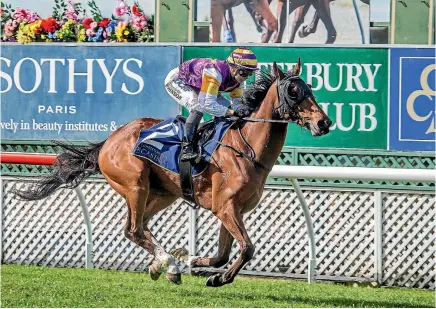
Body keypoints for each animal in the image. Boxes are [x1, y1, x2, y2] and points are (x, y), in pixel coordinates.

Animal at [14, 60, 330, 286]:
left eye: (310, 88)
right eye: (293, 91)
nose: (324, 123)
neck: (246, 148)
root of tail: (109, 140)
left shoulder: (232, 208)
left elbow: (223, 254)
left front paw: (198, 266)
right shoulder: (225, 206)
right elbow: (247, 248)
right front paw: (217, 278)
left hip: (163, 193)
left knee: (139, 228)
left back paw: (165, 265)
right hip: (135, 185)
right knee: (134, 229)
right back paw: (169, 264)